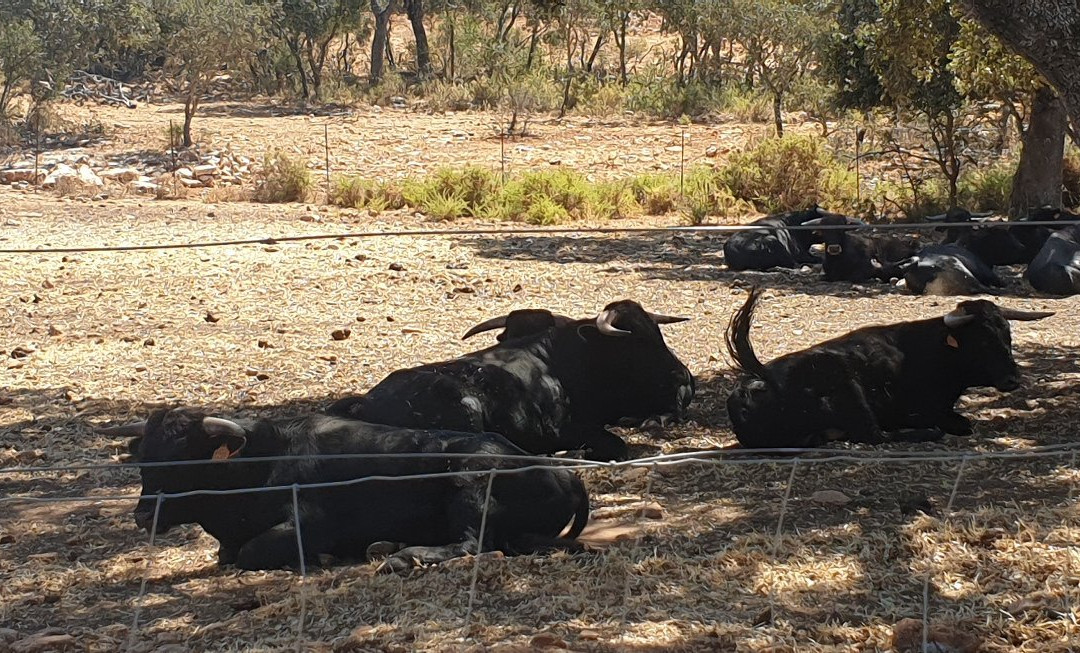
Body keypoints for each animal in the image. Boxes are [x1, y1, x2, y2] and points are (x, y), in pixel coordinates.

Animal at [100, 407, 587, 569]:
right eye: (145, 460)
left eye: (185, 460)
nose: (143, 515)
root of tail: (561, 470)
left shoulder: (310, 524)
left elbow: (252, 552)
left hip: (469, 487)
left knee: (474, 543)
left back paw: (405, 556)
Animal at [721, 289, 1049, 449]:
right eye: (981, 341)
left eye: (1008, 335)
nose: (1012, 379)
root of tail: (761, 377)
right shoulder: (922, 409)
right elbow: (959, 422)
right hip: (848, 388)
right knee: (875, 436)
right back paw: (926, 434)